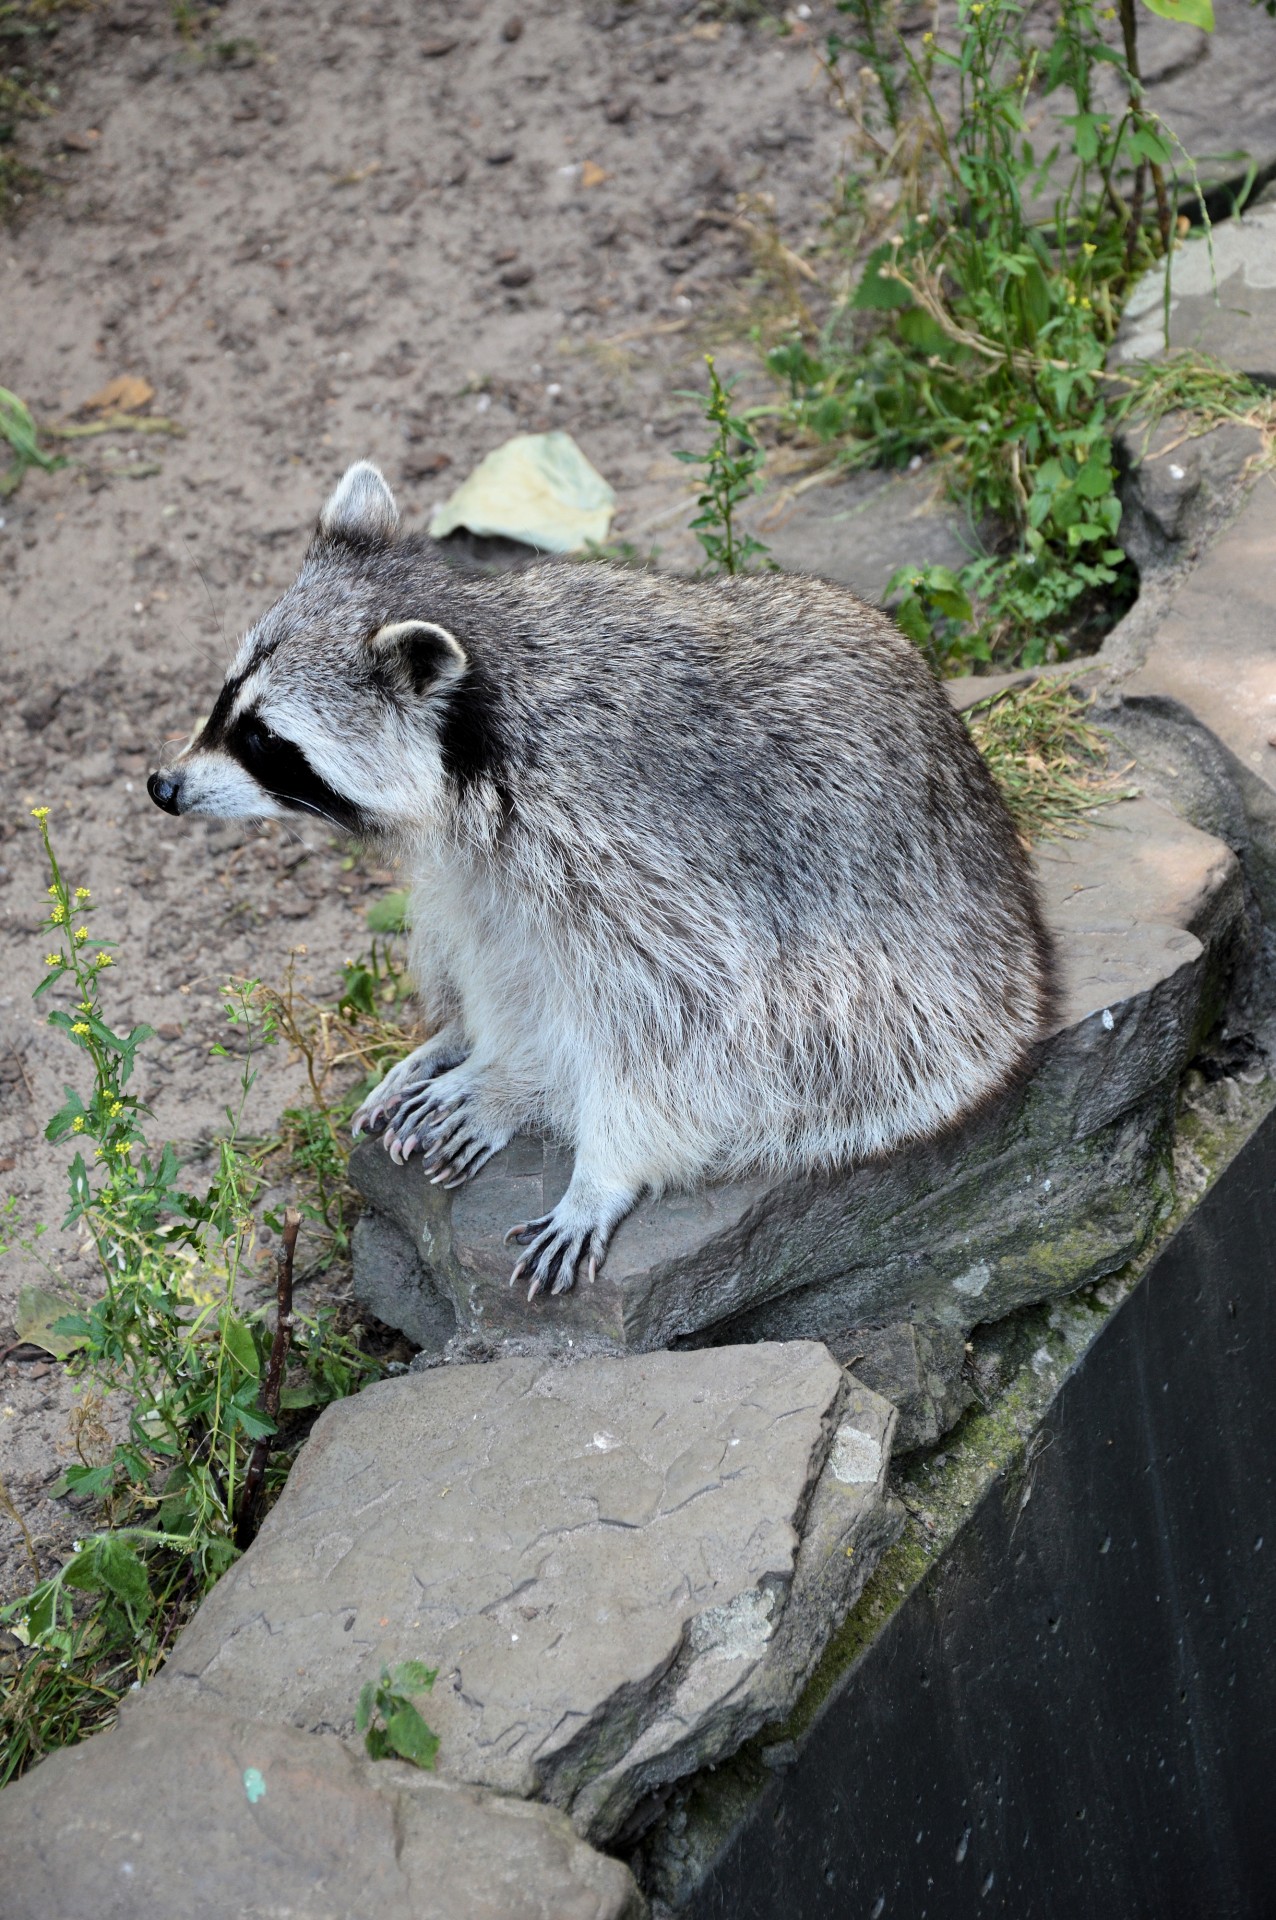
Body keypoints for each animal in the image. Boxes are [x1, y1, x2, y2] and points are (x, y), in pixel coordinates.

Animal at [149, 462, 1051, 1297]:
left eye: (266, 741)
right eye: (226, 700)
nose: (163, 786)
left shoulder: (633, 854)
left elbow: (692, 1026)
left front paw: (584, 1154)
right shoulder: (492, 853)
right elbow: (500, 947)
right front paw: (494, 1055)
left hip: (910, 1011)